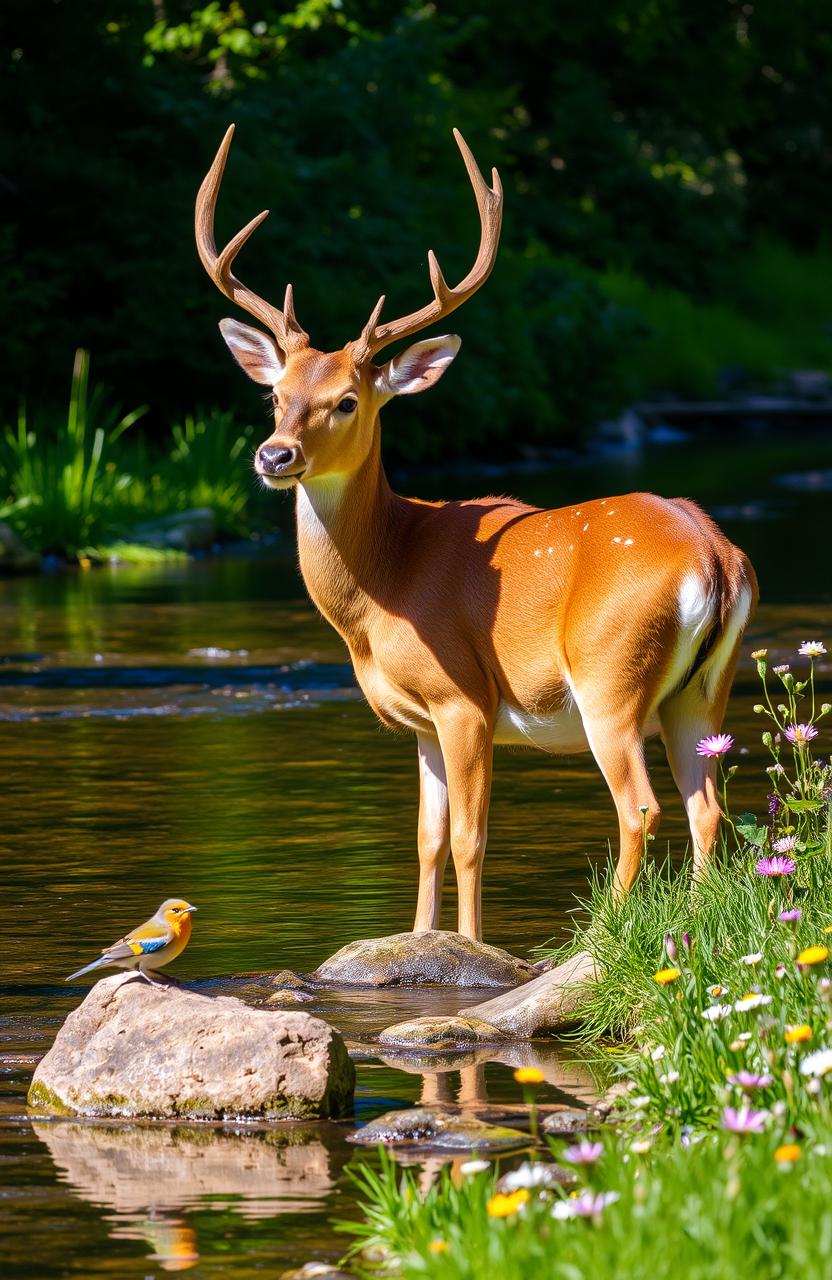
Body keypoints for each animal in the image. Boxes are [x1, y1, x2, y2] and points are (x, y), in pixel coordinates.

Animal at [193, 127, 752, 942]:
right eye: (275, 395)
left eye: (348, 400)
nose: (275, 455)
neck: (383, 585)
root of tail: (716, 555)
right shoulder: (419, 721)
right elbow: (426, 838)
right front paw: (421, 937)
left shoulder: (463, 698)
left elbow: (468, 836)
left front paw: (470, 944)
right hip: (704, 689)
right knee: (704, 807)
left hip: (610, 675)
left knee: (641, 807)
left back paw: (599, 932)